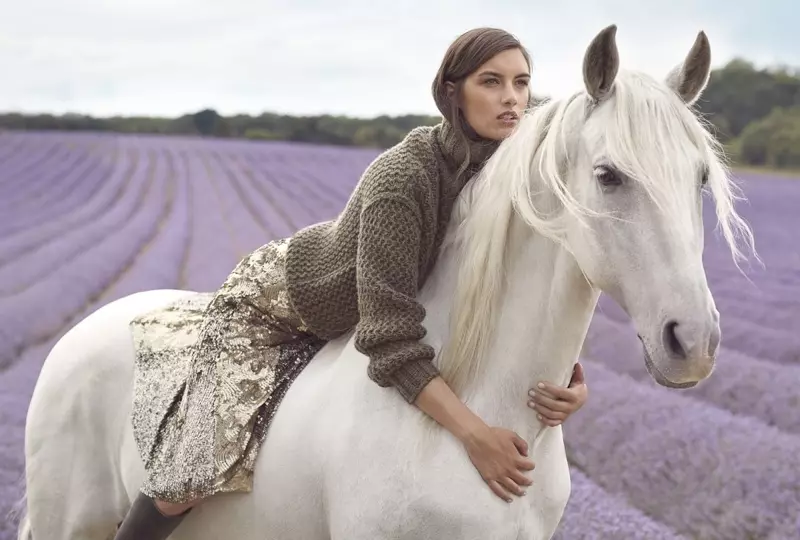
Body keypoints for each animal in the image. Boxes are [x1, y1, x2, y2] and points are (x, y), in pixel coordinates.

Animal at [20, 25, 756, 540]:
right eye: (608, 175)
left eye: (700, 176)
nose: (692, 343)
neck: (479, 412)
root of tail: (91, 323)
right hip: (71, 518)